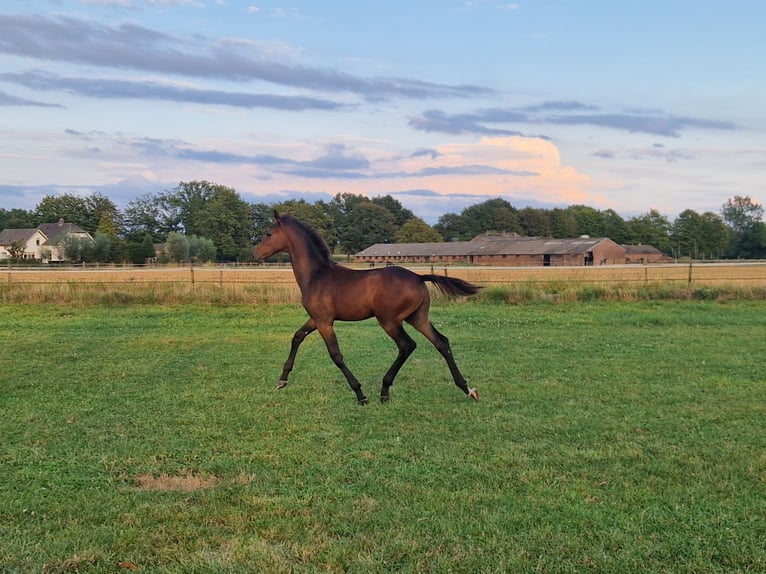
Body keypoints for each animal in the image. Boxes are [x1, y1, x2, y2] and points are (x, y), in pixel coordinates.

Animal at [253, 211, 481, 405]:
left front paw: (360, 394)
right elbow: (297, 337)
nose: (256, 254)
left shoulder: (325, 322)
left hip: (389, 321)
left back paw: (385, 390)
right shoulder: (315, 319)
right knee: (441, 342)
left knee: (407, 345)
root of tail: (418, 277)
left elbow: (336, 355)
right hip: (418, 317)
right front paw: (282, 380)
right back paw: (467, 388)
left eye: (268, 233)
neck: (317, 276)